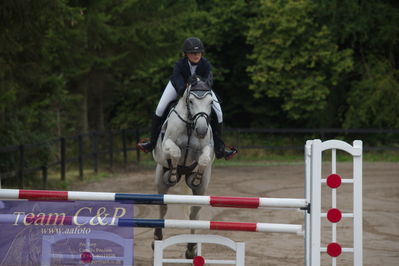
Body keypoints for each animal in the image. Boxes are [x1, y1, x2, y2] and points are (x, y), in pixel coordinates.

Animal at [153, 79, 216, 258]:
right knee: (162, 207)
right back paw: (157, 237)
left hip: (201, 192)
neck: (190, 125)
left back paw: (191, 247)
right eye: (191, 101)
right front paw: (173, 174)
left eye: (211, 102)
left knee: (194, 213)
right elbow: (176, 151)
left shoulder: (206, 149)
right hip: (160, 182)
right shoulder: (167, 144)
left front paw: (196, 178)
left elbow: (204, 159)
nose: (201, 130)